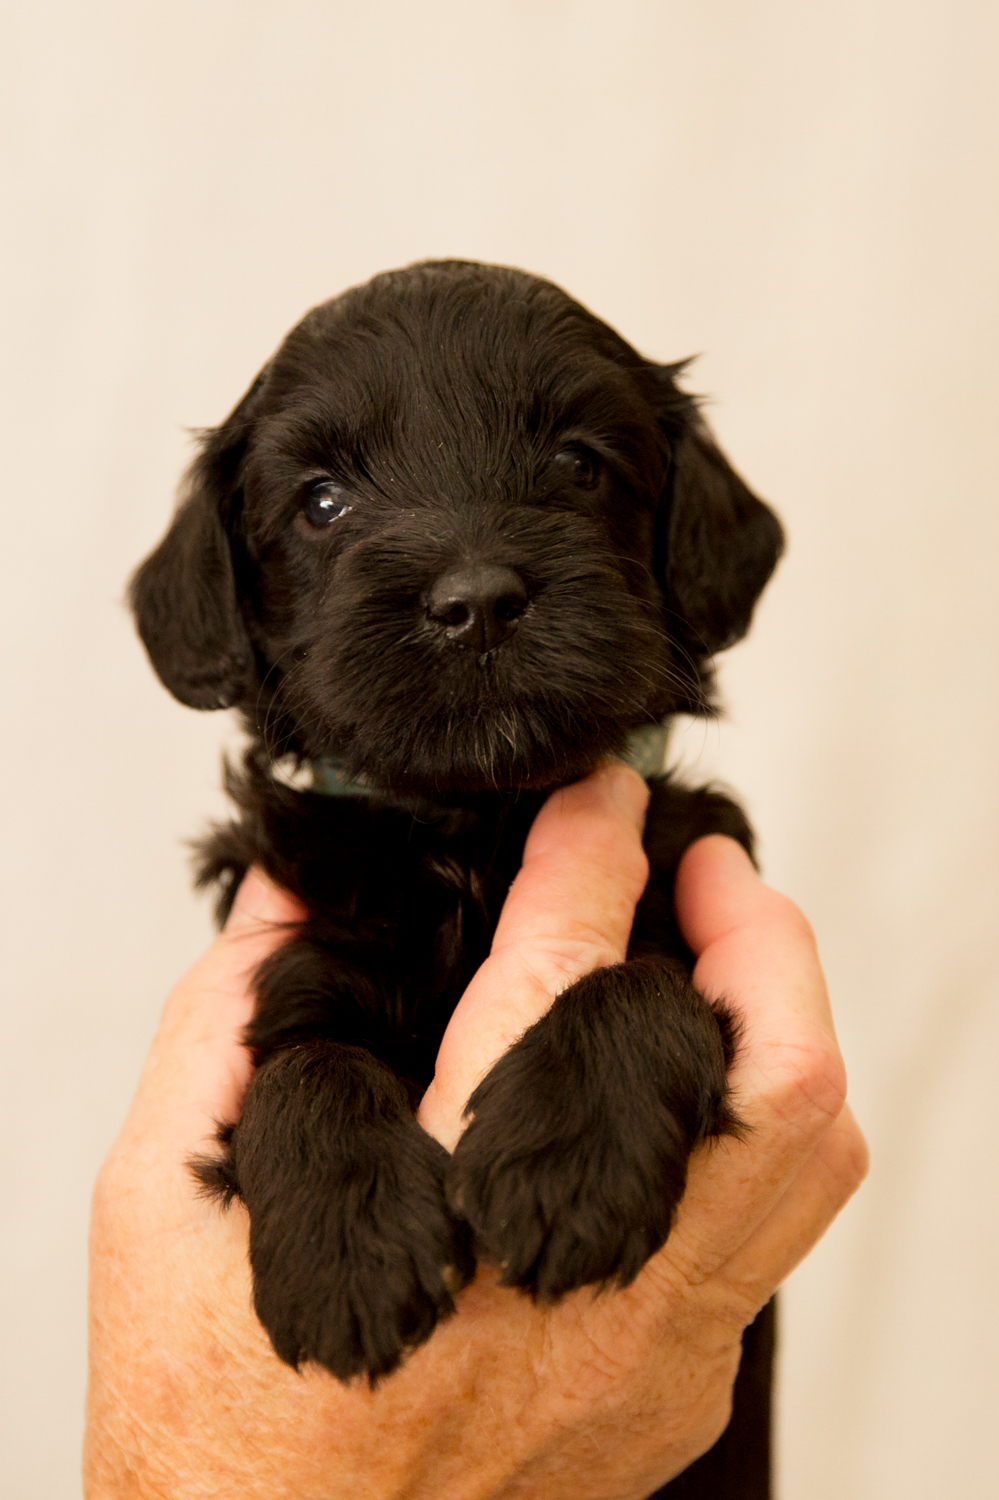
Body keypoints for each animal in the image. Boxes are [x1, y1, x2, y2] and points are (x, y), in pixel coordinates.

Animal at [132, 264, 780, 1494]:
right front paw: (346, 1253)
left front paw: (568, 1161)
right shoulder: (298, 956)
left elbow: (643, 984)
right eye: (322, 502)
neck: (470, 826)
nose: (474, 600)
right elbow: (305, 1065)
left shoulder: (691, 882)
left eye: (578, 463)